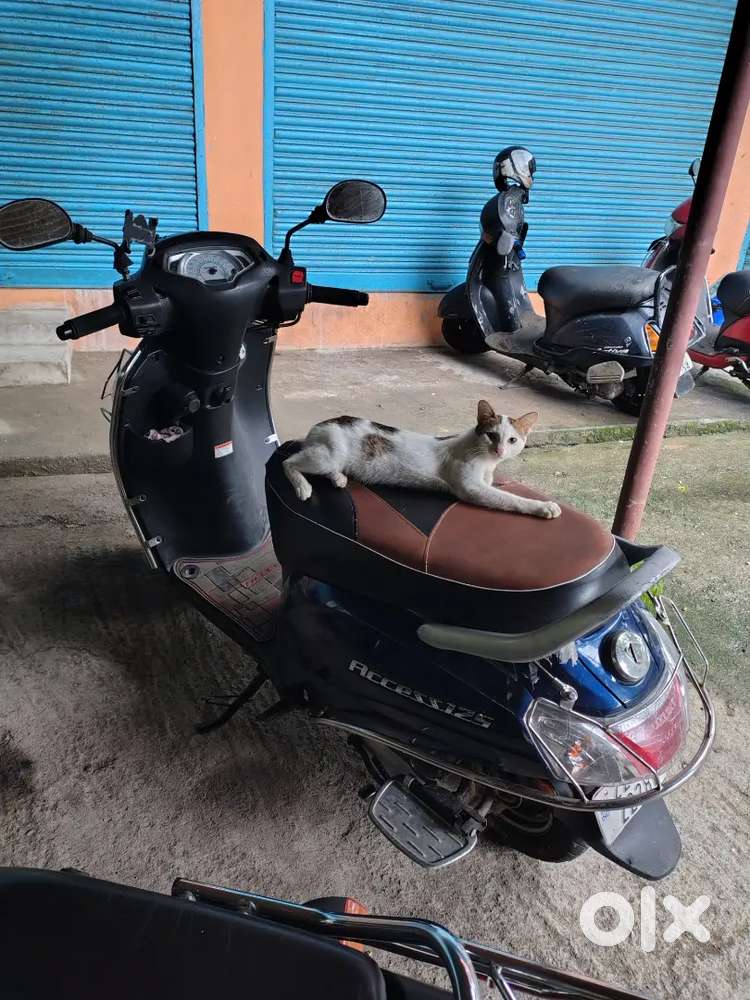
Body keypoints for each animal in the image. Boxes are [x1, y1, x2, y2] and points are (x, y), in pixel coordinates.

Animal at [283, 399, 562, 519]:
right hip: (328, 456)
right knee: (288, 461)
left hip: (331, 457)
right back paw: (303, 486)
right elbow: (511, 499)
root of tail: (321, 424)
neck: (485, 461)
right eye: (491, 436)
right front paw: (544, 507)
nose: (500, 451)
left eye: (512, 440)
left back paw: (339, 479)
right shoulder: (472, 489)